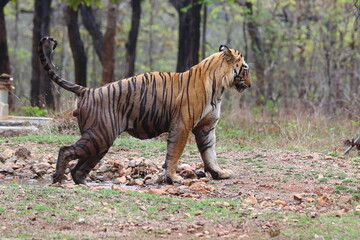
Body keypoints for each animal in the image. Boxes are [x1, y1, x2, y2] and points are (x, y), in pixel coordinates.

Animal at [38, 36, 250, 185]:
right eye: (246, 68)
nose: (250, 85)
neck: (219, 88)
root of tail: (88, 90)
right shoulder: (182, 125)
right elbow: (174, 153)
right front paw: (174, 178)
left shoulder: (206, 128)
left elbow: (210, 153)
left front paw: (219, 173)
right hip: (99, 135)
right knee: (66, 149)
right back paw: (58, 178)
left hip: (101, 141)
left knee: (79, 168)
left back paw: (83, 183)